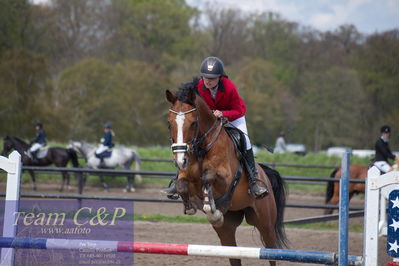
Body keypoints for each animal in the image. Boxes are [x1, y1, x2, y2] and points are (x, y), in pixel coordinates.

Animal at [166, 83, 288, 266]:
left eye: (193, 123)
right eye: (169, 124)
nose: (180, 161)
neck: (201, 148)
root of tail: (265, 174)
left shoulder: (226, 179)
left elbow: (208, 177)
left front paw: (211, 207)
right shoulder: (186, 177)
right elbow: (182, 185)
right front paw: (192, 207)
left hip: (265, 222)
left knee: (271, 251)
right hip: (227, 230)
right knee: (233, 253)